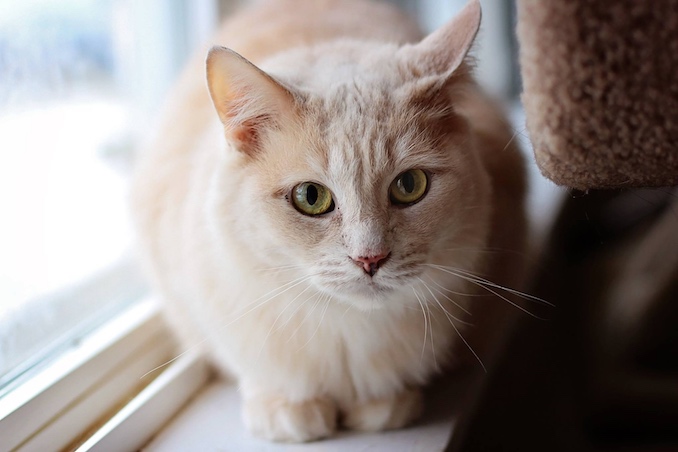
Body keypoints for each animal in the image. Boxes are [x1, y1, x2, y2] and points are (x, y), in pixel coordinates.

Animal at [130, 0, 528, 444]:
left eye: (410, 185)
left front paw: (384, 404)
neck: (347, 330)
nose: (370, 259)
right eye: (311, 197)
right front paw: (286, 408)